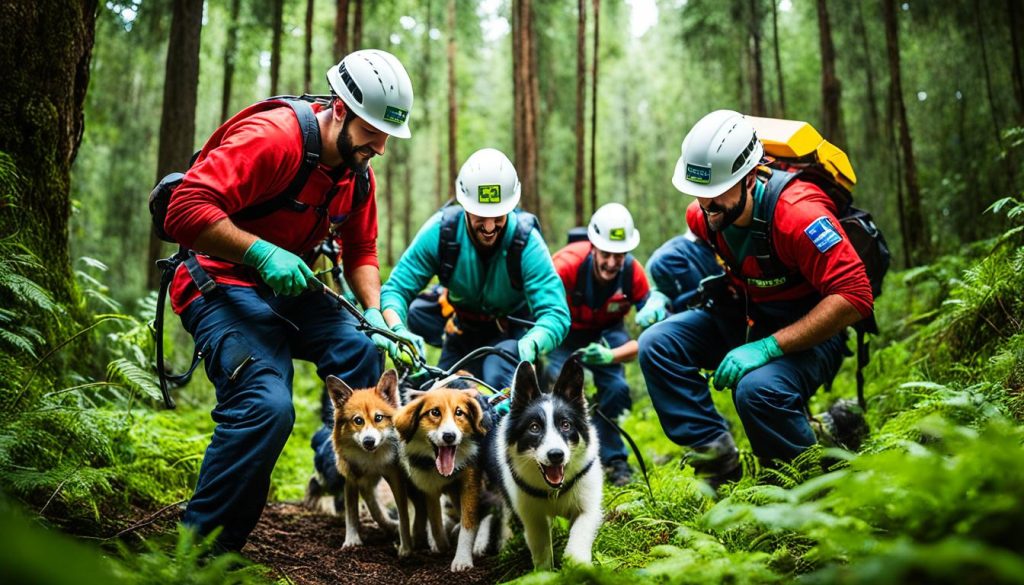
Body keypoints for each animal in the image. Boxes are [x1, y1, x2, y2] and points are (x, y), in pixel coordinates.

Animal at [323, 370, 411, 557]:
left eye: (378, 418)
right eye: (358, 420)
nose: (369, 441)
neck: (371, 461)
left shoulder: (395, 477)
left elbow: (404, 516)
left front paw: (406, 548)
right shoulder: (352, 477)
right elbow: (352, 513)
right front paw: (352, 541)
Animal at [391, 383, 487, 573]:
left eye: (459, 412)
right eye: (434, 412)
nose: (449, 436)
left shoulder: (470, 482)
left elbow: (468, 521)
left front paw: (462, 559)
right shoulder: (429, 487)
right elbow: (435, 523)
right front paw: (441, 545)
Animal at [493, 358, 602, 569]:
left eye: (566, 425)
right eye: (534, 427)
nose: (556, 455)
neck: (554, 491)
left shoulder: (588, 504)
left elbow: (580, 534)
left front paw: (578, 565)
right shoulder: (532, 516)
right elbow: (541, 546)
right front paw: (545, 572)